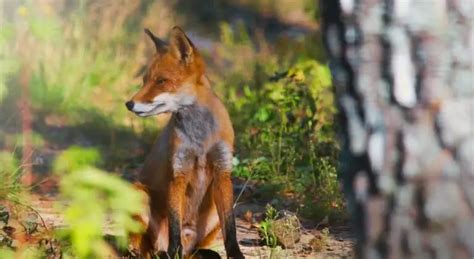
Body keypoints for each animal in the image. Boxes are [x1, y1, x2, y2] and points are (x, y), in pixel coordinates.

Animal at [126, 26, 244, 259]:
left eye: (161, 81)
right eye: (144, 81)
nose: (129, 104)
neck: (200, 140)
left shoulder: (222, 172)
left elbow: (231, 229)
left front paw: (236, 255)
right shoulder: (177, 172)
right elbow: (174, 225)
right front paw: (175, 253)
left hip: (214, 212)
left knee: (196, 249)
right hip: (138, 194)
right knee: (147, 248)